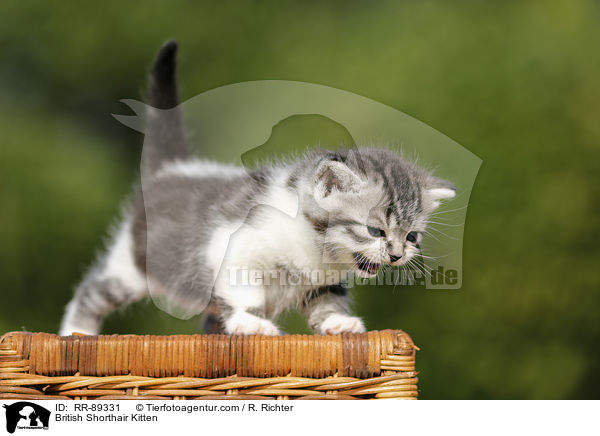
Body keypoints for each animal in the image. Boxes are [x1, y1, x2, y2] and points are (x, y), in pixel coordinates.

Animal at [59, 42, 454, 338]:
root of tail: (173, 169)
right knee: (91, 292)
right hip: (130, 263)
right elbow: (242, 290)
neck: (316, 250)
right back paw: (76, 333)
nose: (397, 255)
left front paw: (337, 322)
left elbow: (327, 301)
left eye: (413, 236)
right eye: (375, 231)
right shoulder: (232, 247)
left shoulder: (324, 281)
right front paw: (252, 323)